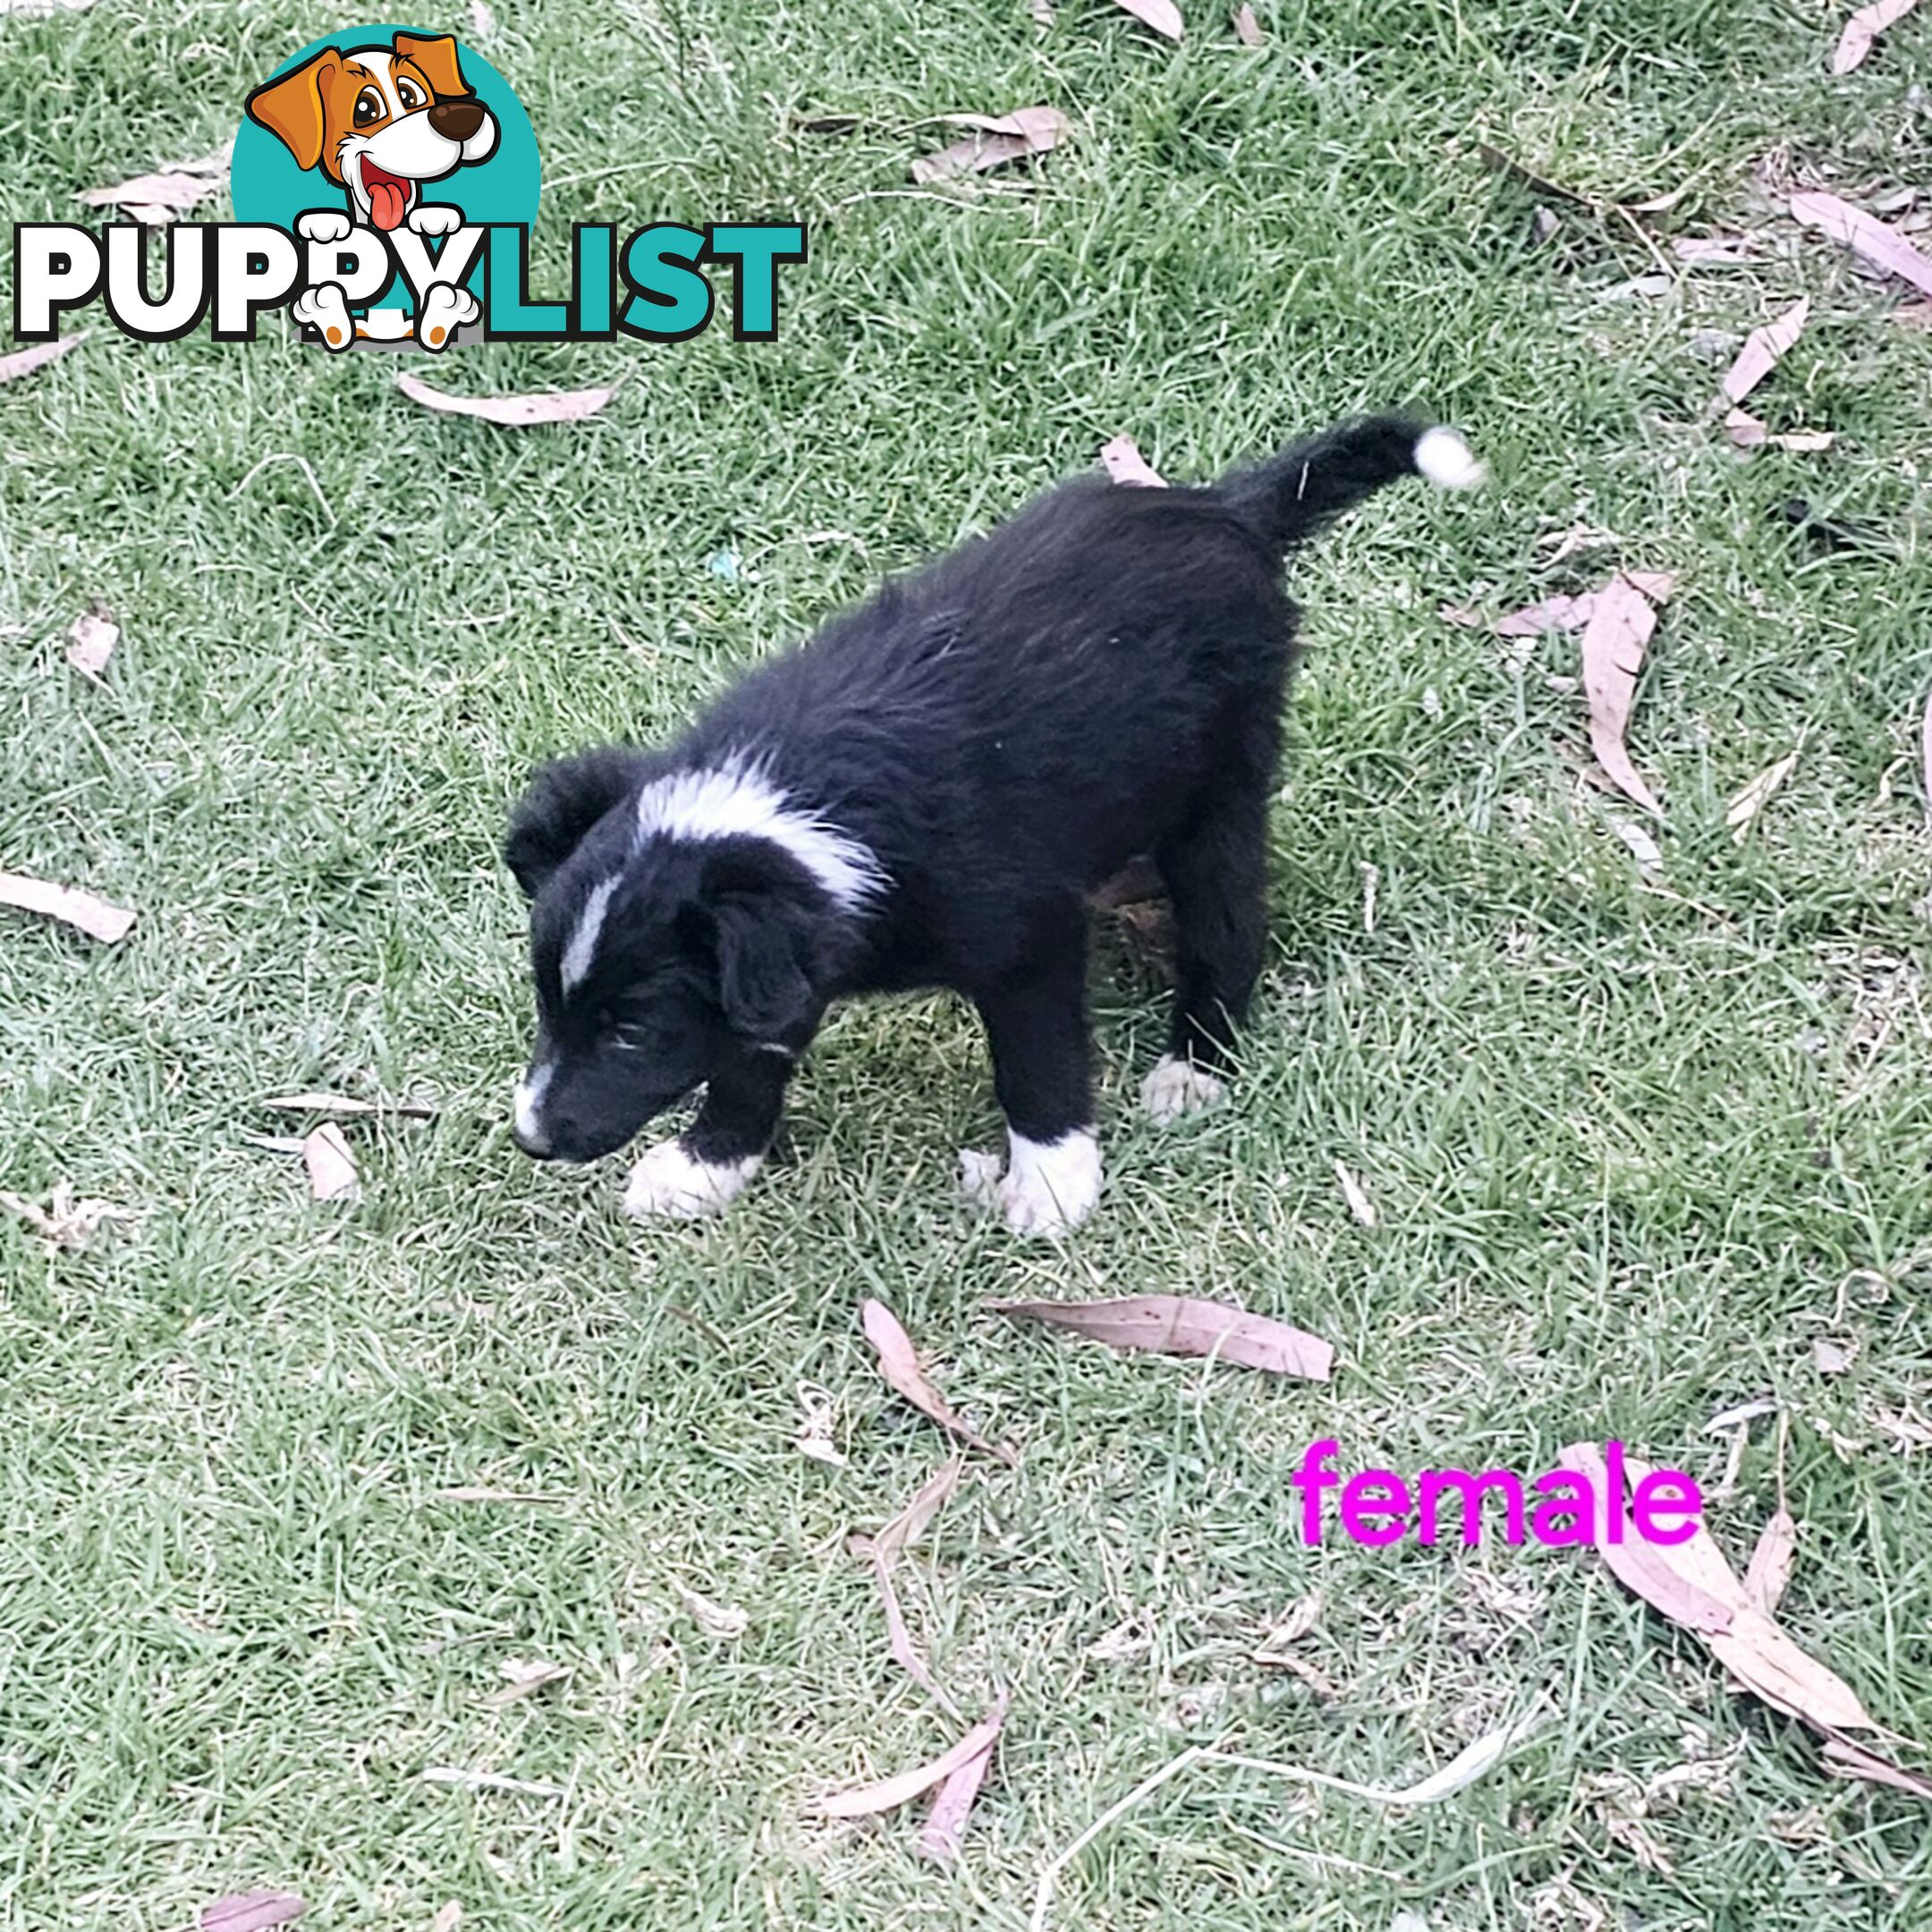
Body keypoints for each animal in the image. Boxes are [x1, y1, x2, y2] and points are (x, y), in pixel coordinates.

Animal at [505, 420, 1483, 1236]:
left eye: (632, 1033)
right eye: (547, 1006)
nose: (532, 1139)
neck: (803, 802)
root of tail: (1222, 508)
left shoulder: (1026, 943)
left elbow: (1037, 1062)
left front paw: (1052, 1183)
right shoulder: (788, 958)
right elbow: (750, 1053)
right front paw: (708, 1164)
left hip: (1221, 791)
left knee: (1227, 920)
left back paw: (1197, 1062)